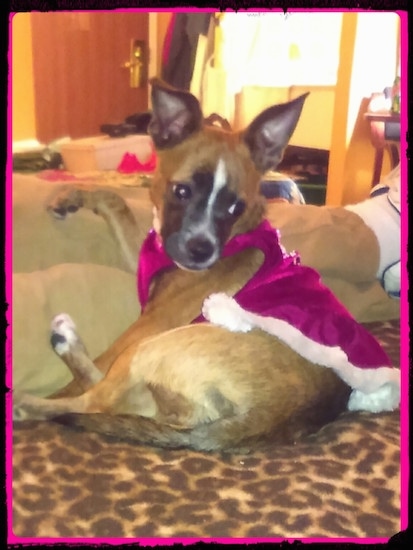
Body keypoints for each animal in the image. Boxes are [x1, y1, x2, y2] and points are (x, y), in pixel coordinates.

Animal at [12, 80, 350, 454]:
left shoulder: (152, 322)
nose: (201, 252)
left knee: (97, 401)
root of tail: (277, 417)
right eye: (182, 191)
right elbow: (115, 200)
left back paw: (33, 393)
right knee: (134, 404)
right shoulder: (148, 254)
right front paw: (73, 196)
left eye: (235, 207)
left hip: (152, 346)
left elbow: (88, 378)